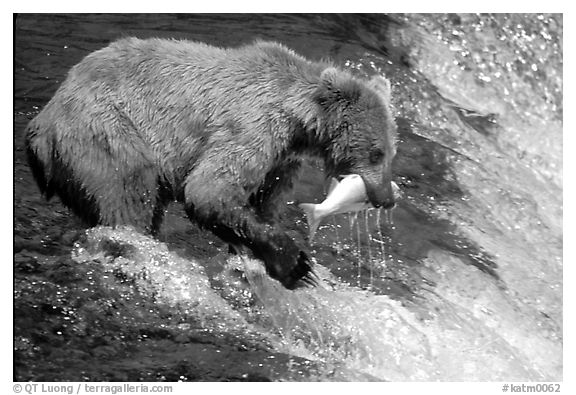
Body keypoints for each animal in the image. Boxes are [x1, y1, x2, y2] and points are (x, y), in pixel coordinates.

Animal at [25, 38, 396, 288]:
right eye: (376, 153)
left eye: (391, 152)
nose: (387, 199)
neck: (300, 123)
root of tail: (40, 124)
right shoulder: (253, 128)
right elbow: (210, 190)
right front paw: (296, 263)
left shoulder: (279, 161)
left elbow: (261, 203)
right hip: (108, 133)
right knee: (128, 199)